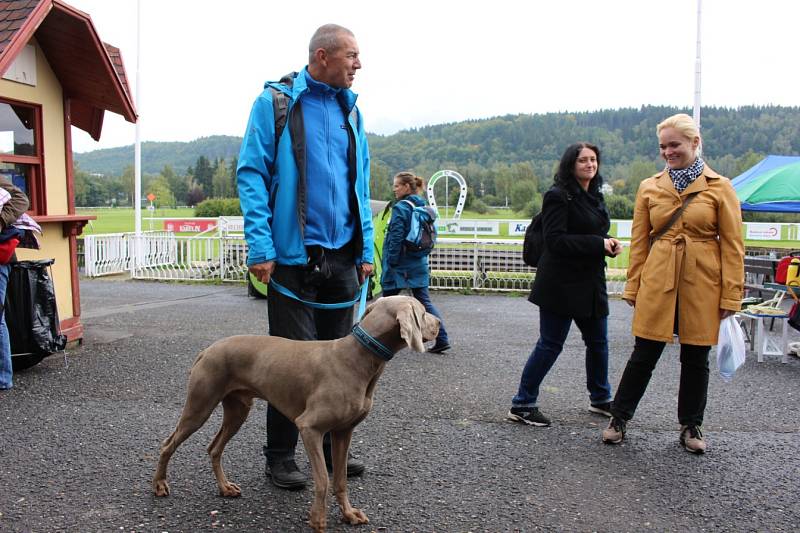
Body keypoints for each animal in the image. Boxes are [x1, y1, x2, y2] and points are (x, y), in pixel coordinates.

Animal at [153, 296, 440, 532]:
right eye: (423, 312)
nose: (438, 323)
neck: (359, 358)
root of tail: (207, 349)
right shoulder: (309, 427)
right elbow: (323, 479)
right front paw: (317, 519)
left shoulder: (343, 432)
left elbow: (340, 480)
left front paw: (348, 515)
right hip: (199, 406)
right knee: (168, 444)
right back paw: (159, 485)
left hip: (238, 409)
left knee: (214, 448)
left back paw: (225, 488)